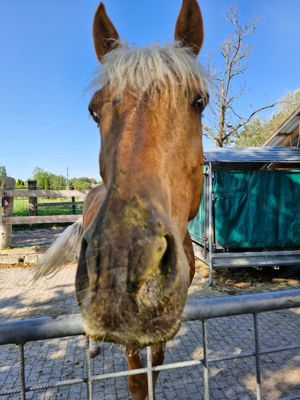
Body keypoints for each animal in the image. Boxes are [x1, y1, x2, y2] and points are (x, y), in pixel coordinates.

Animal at [34, 1, 209, 398]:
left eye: (199, 101)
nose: (121, 266)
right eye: (94, 111)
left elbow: (153, 372)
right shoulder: (131, 339)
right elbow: (136, 383)